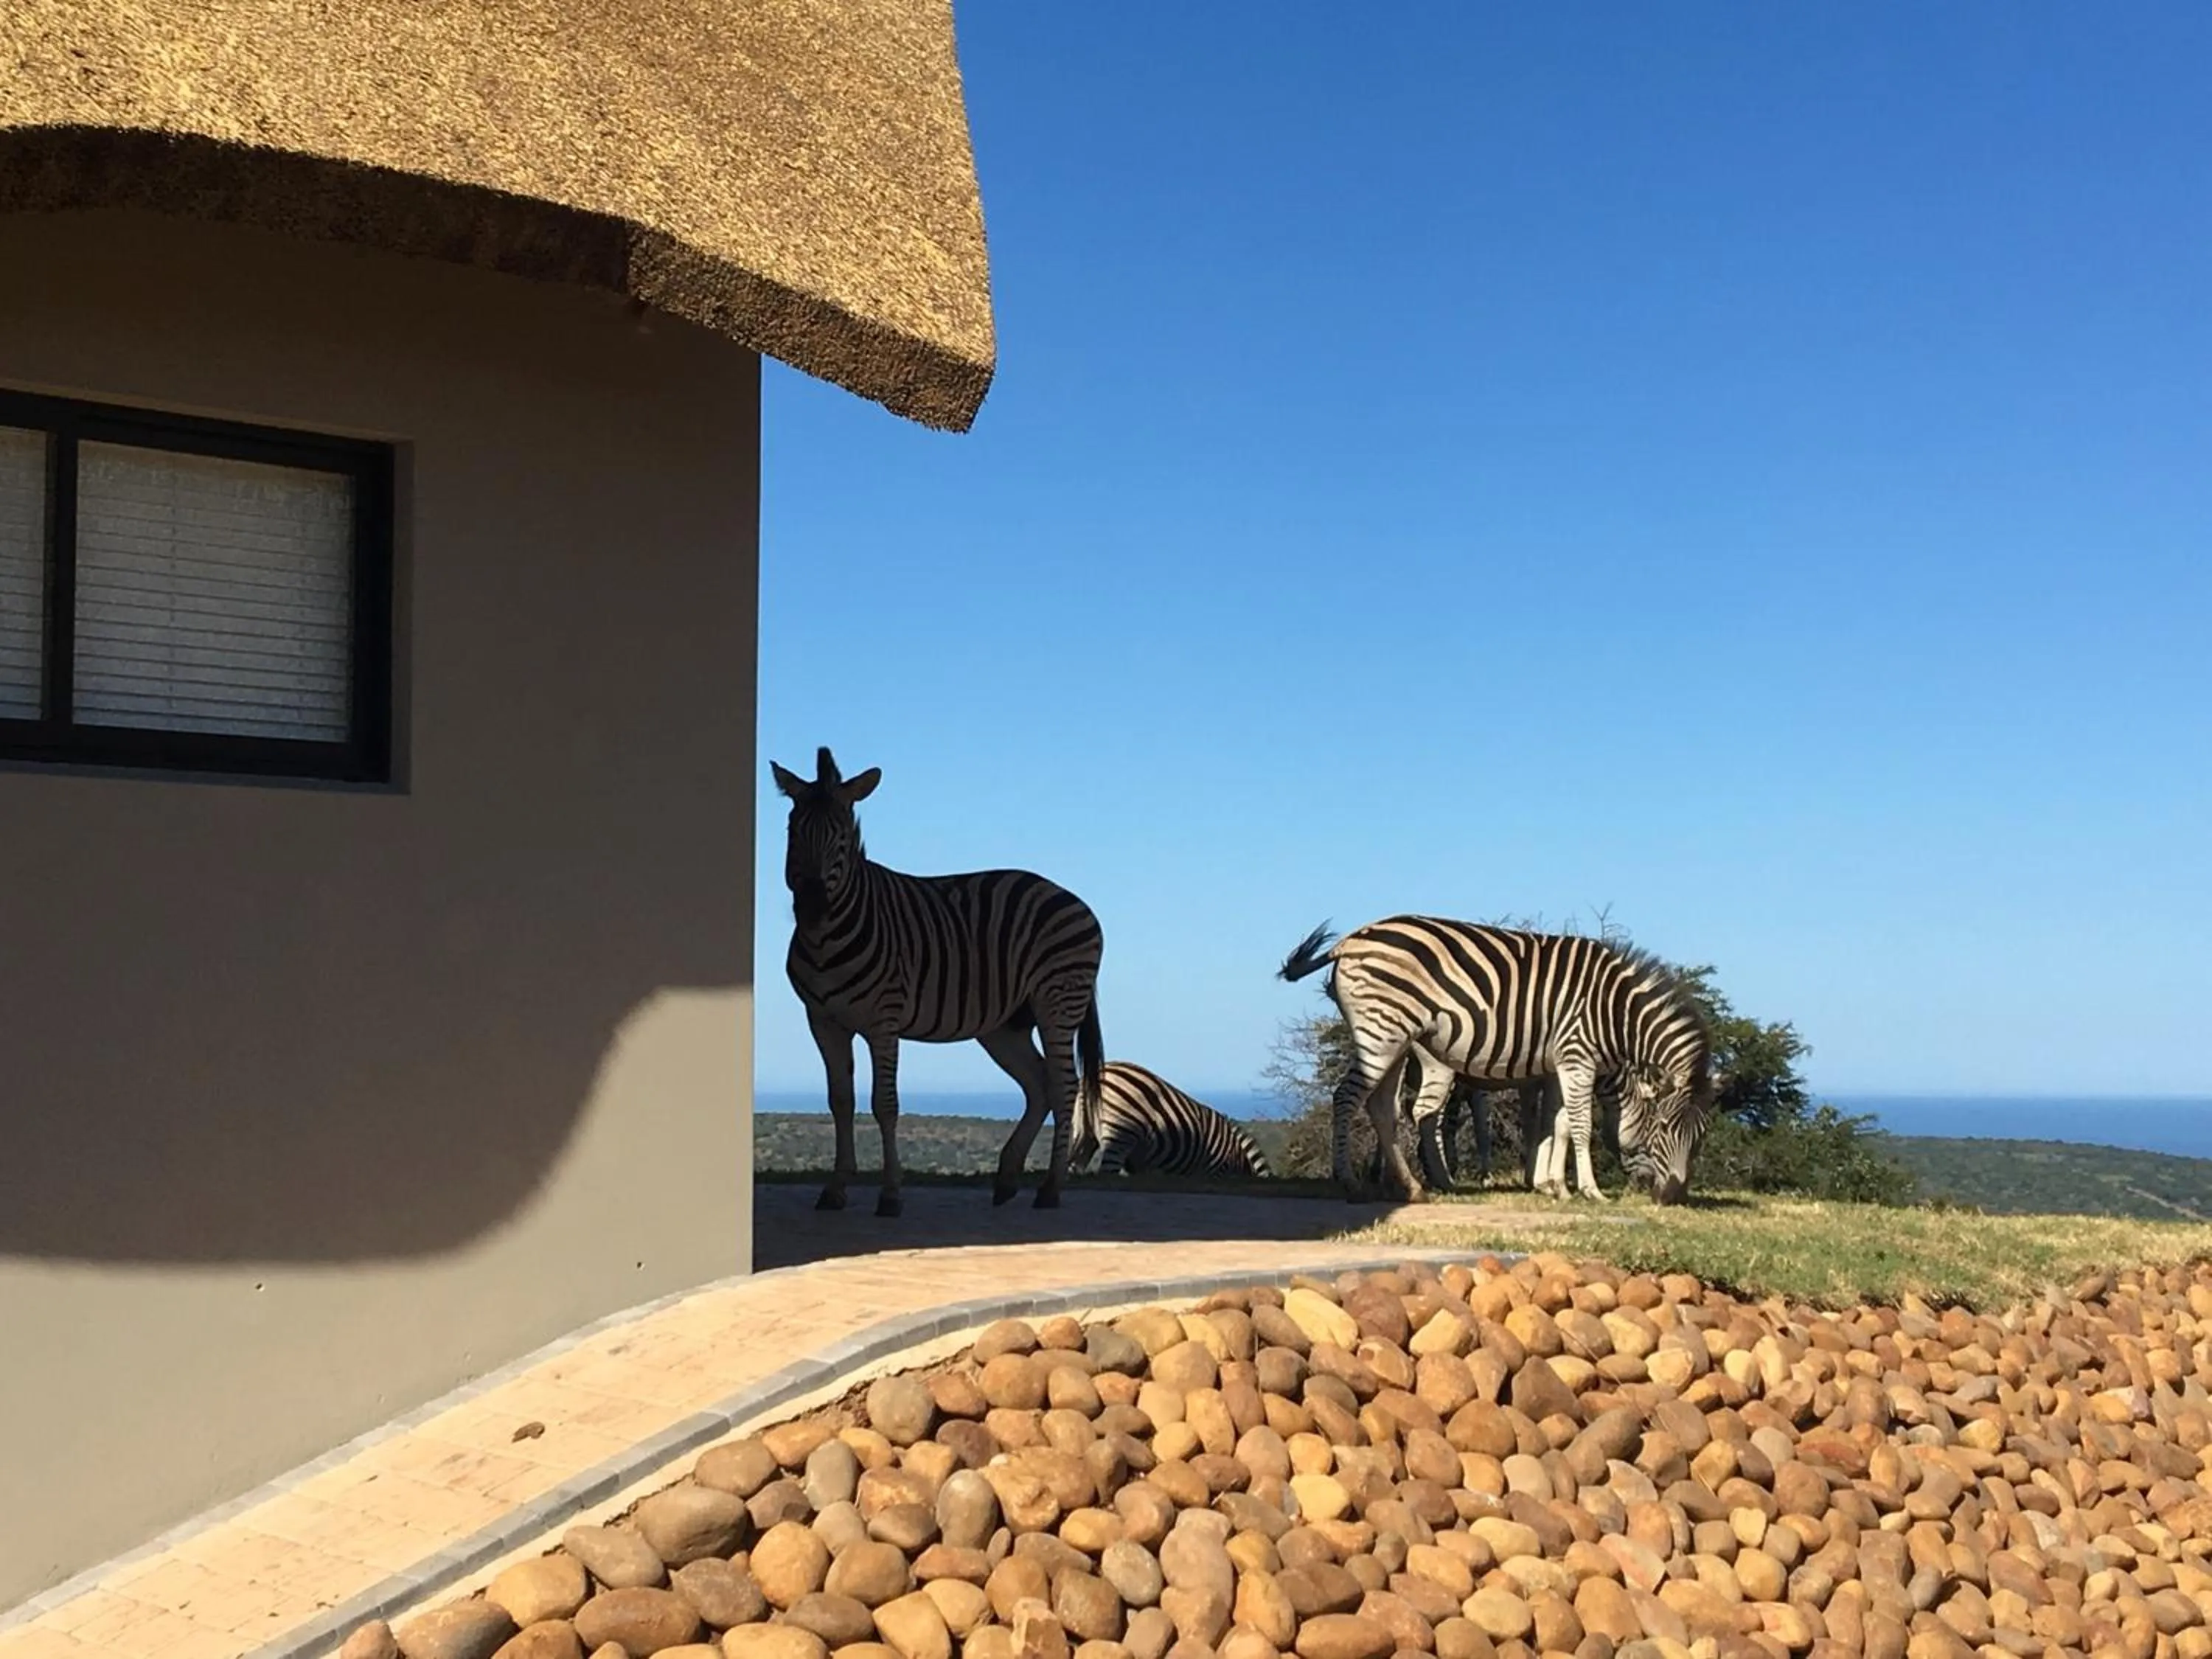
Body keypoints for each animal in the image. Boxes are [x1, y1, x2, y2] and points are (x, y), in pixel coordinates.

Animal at [774, 747, 1105, 1216]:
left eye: (842, 838)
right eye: (793, 830)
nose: (812, 909)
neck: (827, 943)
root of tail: (1073, 899)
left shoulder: (884, 1021)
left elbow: (884, 1104)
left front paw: (891, 1195)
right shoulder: (822, 1021)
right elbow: (841, 1101)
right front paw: (836, 1189)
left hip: (1057, 1002)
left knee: (1063, 1086)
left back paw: (1050, 1189)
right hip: (1005, 1025)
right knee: (1038, 1083)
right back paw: (1007, 1180)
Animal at [1277, 915, 1714, 1205]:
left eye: (1700, 1138)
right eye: (1662, 1127)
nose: (1673, 1196)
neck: (1614, 1012)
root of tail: (1351, 940)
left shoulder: (1557, 1064)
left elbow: (1557, 1125)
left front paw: (1556, 1187)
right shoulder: (1576, 1057)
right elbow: (1578, 1126)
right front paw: (1588, 1191)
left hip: (1394, 1039)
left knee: (1382, 1107)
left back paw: (1412, 1187)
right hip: (1383, 1034)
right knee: (1347, 1097)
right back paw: (1349, 1180)